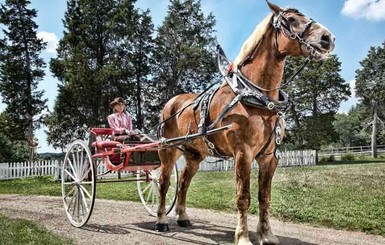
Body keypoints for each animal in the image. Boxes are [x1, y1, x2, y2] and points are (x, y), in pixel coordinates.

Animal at [155, 0, 332, 244]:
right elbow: (243, 197)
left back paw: (182, 217)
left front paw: (267, 235)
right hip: (168, 150)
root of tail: (171, 103)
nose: (327, 38)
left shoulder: (269, 157)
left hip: (194, 155)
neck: (257, 99)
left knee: (183, 182)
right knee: (164, 183)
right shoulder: (243, 153)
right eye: (290, 20)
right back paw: (161, 220)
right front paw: (243, 237)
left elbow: (264, 196)